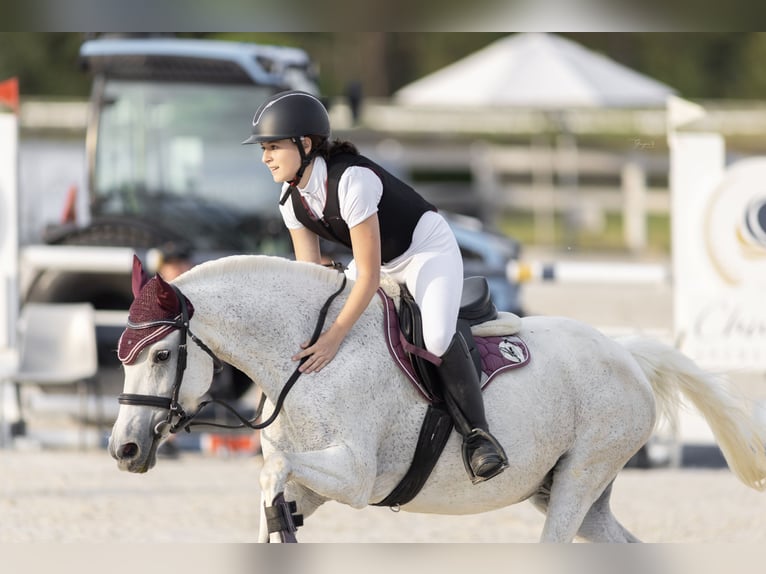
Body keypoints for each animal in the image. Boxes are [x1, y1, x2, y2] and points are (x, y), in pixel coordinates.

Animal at [108, 255, 766, 544]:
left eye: (161, 356)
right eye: (122, 355)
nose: (124, 449)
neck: (306, 355)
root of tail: (629, 355)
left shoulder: (357, 477)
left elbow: (273, 470)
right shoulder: (318, 484)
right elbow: (277, 496)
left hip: (581, 477)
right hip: (574, 493)